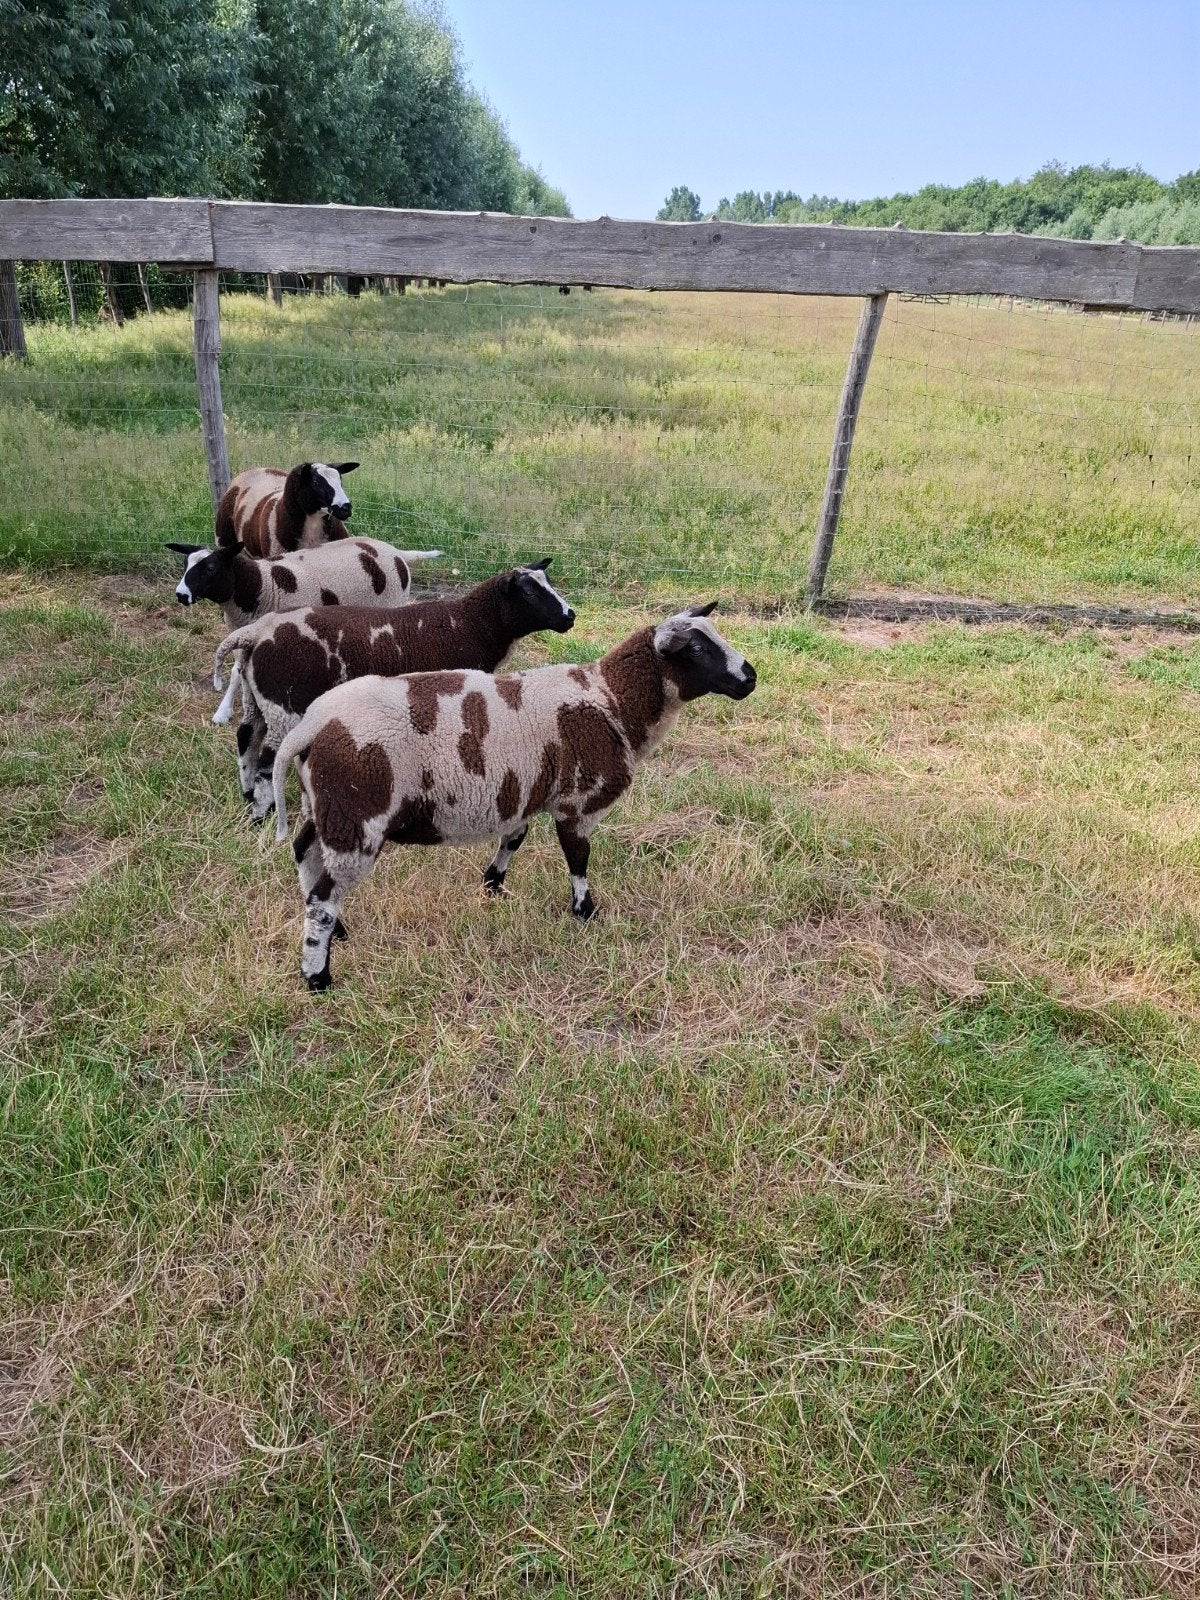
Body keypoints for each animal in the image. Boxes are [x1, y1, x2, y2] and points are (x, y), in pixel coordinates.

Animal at [166, 537, 440, 725]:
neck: (261, 585)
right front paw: (223, 712)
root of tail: (396, 552)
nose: (180, 595)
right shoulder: (243, 633)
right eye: (185, 564)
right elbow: (236, 672)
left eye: (210, 568)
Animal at [213, 559, 576, 823]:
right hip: (283, 705)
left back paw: (248, 795)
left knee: (246, 739)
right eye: (529, 594)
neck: (470, 625)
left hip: (258, 699)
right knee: (267, 760)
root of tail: (255, 633)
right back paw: (263, 814)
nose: (570, 617)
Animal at [269, 603, 757, 989]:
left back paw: (338, 933)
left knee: (305, 854)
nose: (750, 678)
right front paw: (585, 911)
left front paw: (493, 884)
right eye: (696, 649)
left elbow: (514, 839)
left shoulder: (524, 790)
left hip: (326, 808)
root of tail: (310, 727)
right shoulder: (578, 800)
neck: (612, 702)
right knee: (322, 899)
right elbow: (578, 858)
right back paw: (318, 975)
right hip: (358, 818)